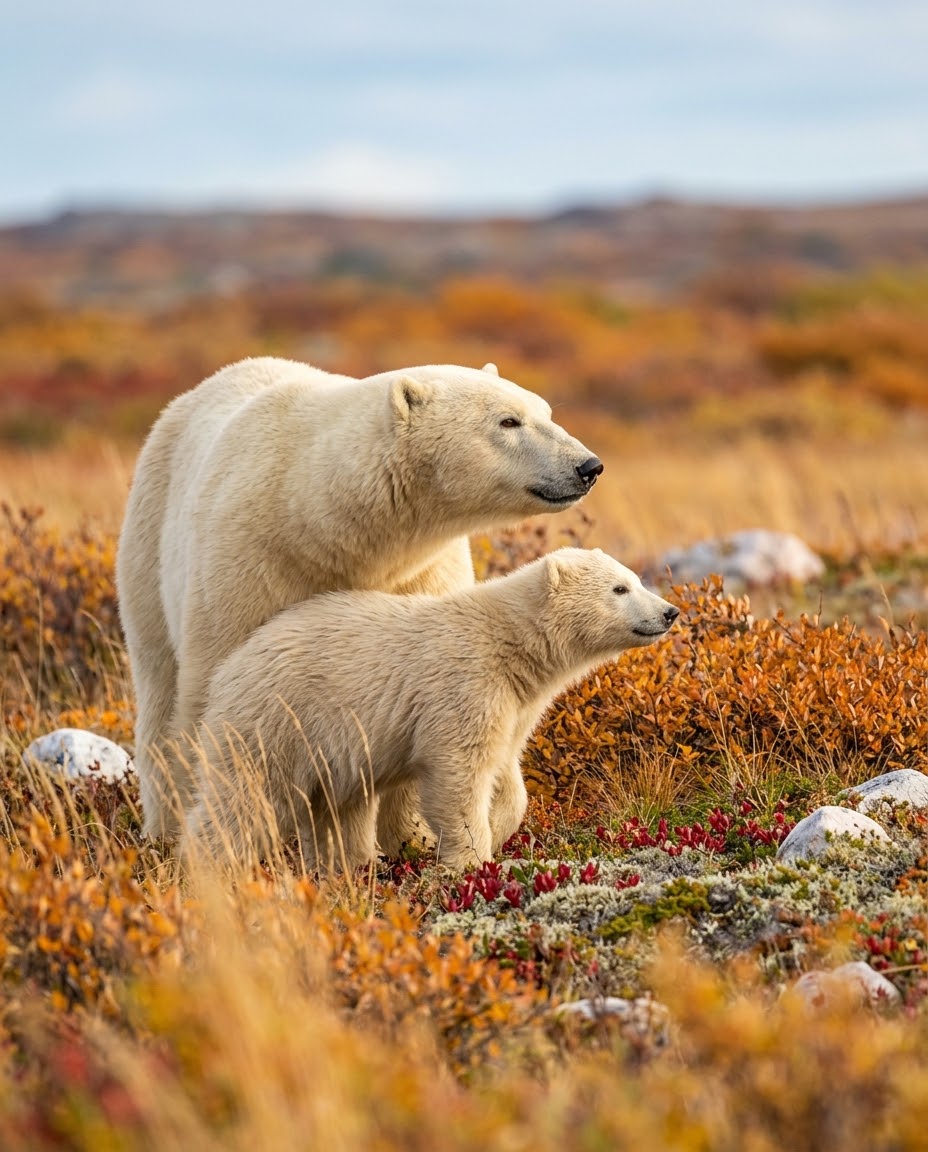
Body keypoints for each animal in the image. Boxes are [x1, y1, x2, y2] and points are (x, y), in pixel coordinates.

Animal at [116, 357, 603, 842]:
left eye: (546, 411)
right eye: (508, 420)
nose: (588, 466)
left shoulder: (423, 575)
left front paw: (415, 833)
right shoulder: (247, 565)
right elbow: (216, 695)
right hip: (149, 541)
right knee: (160, 686)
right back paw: (164, 827)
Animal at [181, 548, 679, 873]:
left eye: (637, 579)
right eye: (620, 587)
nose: (669, 612)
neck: (511, 644)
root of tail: (229, 669)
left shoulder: (515, 703)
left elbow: (506, 768)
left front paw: (499, 825)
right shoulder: (465, 684)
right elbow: (459, 773)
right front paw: (471, 859)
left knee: (339, 809)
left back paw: (346, 865)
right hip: (277, 720)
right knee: (244, 797)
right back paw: (210, 868)